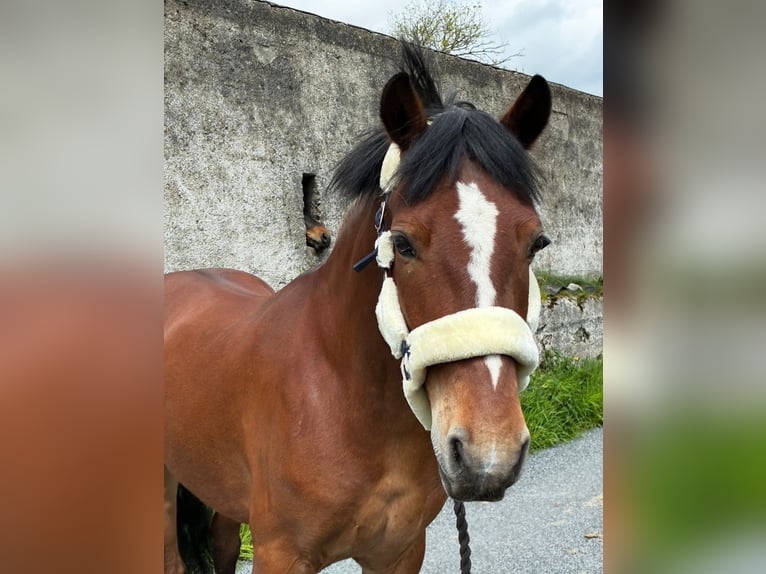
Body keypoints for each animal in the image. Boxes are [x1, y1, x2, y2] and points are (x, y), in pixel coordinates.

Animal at [164, 44, 552, 574]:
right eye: (403, 244)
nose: (487, 454)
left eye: (536, 242)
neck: (341, 393)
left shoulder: (399, 551)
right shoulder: (280, 553)